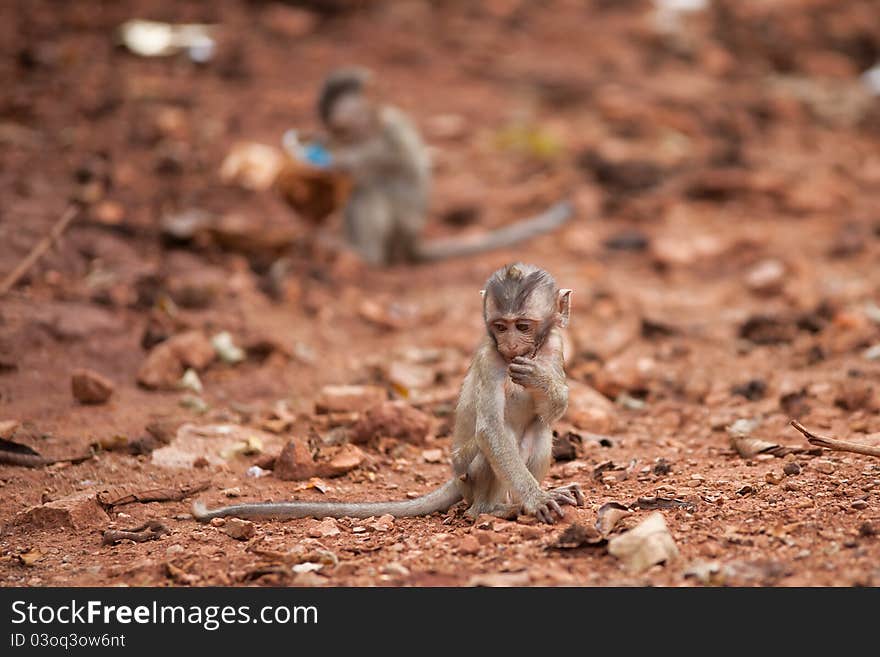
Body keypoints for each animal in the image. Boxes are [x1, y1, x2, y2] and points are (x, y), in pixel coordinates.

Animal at [196, 262, 588, 524]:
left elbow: (552, 409)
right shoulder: (491, 357)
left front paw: (540, 380)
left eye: (523, 326)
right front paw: (536, 500)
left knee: (540, 429)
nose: (510, 345)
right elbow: (491, 429)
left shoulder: (555, 344)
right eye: (500, 327)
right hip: (467, 474)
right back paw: (495, 509)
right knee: (491, 453)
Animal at [312, 69, 576, 266]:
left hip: (401, 226)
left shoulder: (392, 133)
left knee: (368, 190)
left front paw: (339, 159)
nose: (334, 139)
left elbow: (391, 159)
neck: (369, 130)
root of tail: (413, 241)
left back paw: (365, 255)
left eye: (341, 129)